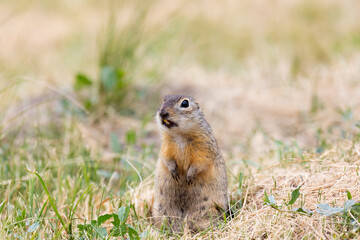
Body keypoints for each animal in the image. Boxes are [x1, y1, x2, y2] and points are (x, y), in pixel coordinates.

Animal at [152, 94, 228, 232]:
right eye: (163, 100)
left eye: (185, 103)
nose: (162, 113)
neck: (180, 136)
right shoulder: (165, 146)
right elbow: (166, 158)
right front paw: (174, 171)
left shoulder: (204, 147)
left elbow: (201, 162)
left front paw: (189, 176)